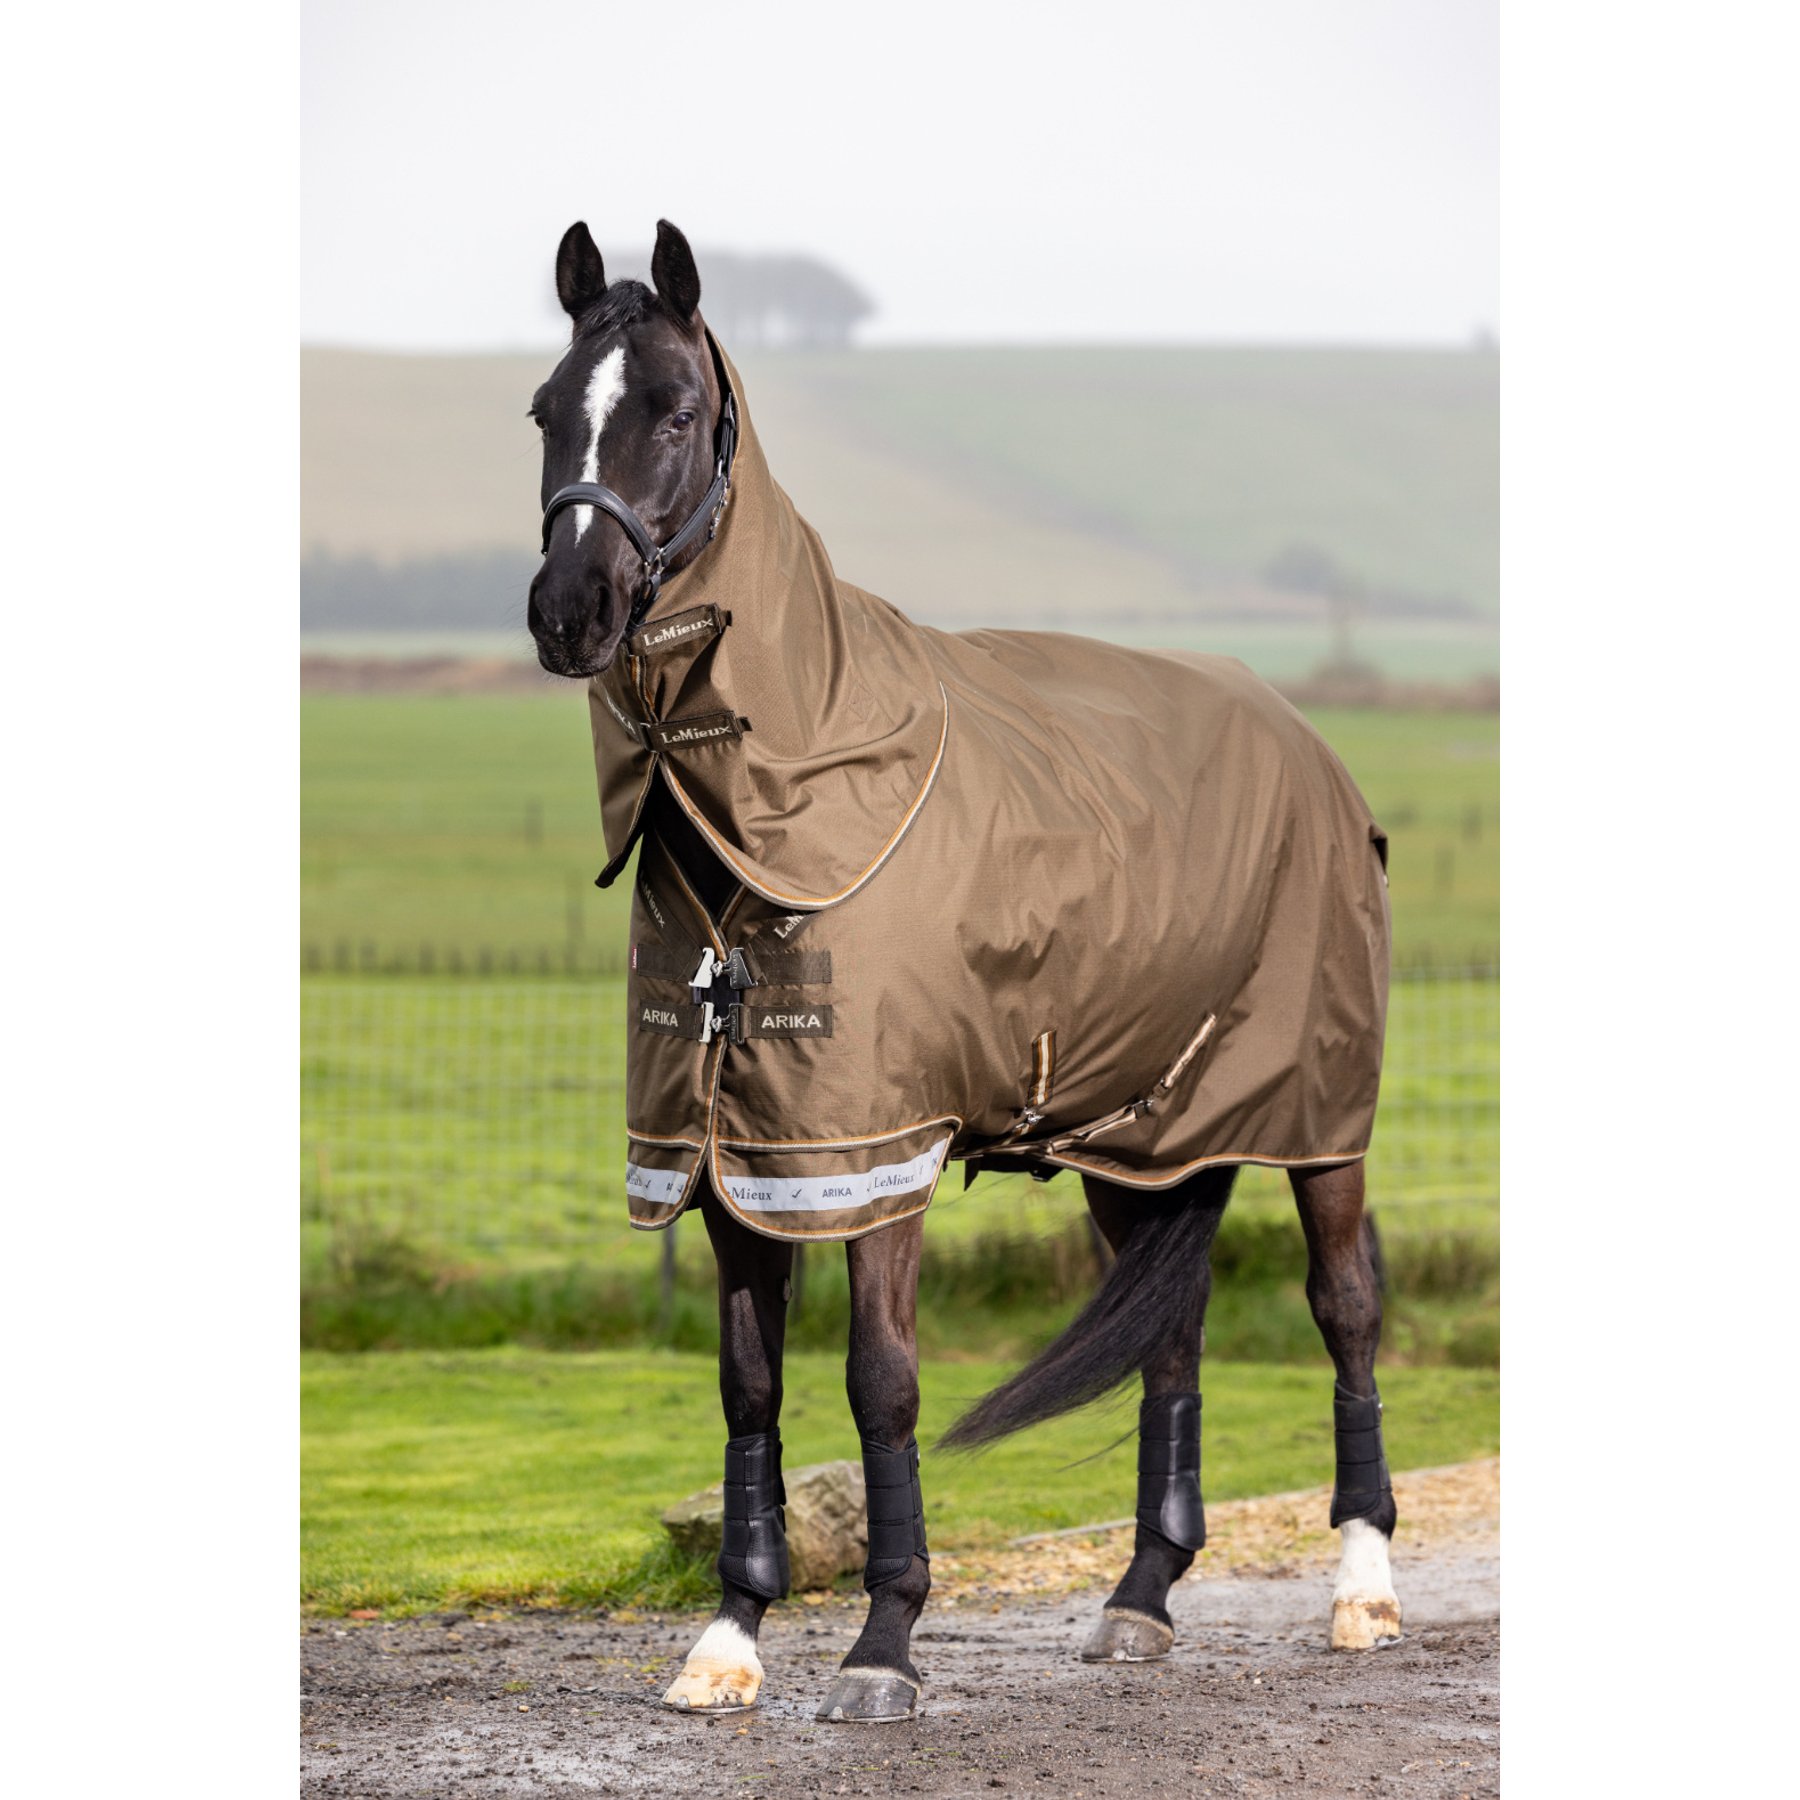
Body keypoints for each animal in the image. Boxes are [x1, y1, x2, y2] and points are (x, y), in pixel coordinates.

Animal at [525, 218, 1401, 1724]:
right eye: (543, 412)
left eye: (677, 412)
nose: (569, 608)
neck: (786, 801)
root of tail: (1310, 746)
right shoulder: (726, 1158)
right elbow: (747, 1391)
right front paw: (730, 1639)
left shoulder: (876, 1152)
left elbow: (881, 1381)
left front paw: (882, 1644)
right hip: (1144, 1140)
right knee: (1173, 1333)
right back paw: (1140, 1597)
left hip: (1318, 1115)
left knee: (1344, 1308)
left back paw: (1363, 1588)